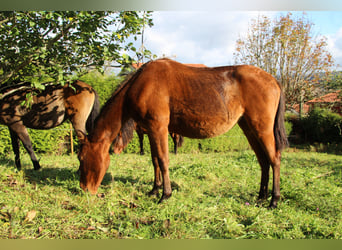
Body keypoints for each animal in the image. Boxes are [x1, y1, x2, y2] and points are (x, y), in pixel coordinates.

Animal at [78, 58, 288, 207]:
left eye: (81, 157)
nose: (84, 189)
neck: (141, 84)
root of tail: (274, 80)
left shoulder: (159, 127)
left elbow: (163, 160)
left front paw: (165, 195)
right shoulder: (152, 129)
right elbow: (155, 160)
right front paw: (155, 190)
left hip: (262, 128)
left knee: (274, 159)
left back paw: (274, 200)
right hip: (249, 129)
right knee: (263, 162)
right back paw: (261, 197)